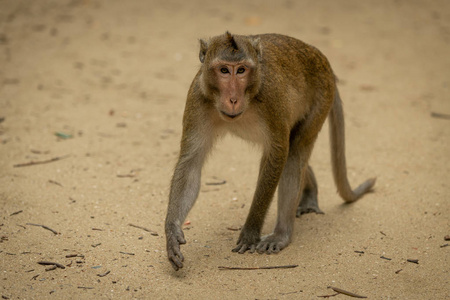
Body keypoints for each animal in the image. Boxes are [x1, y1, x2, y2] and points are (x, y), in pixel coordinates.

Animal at [165, 31, 376, 270]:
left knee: (294, 153)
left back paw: (282, 234)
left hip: (321, 98)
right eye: (224, 70)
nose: (233, 98)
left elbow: (278, 154)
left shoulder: (271, 98)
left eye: (241, 70)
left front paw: (250, 232)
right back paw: (309, 194)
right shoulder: (197, 98)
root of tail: (325, 64)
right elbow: (191, 163)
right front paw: (172, 233)